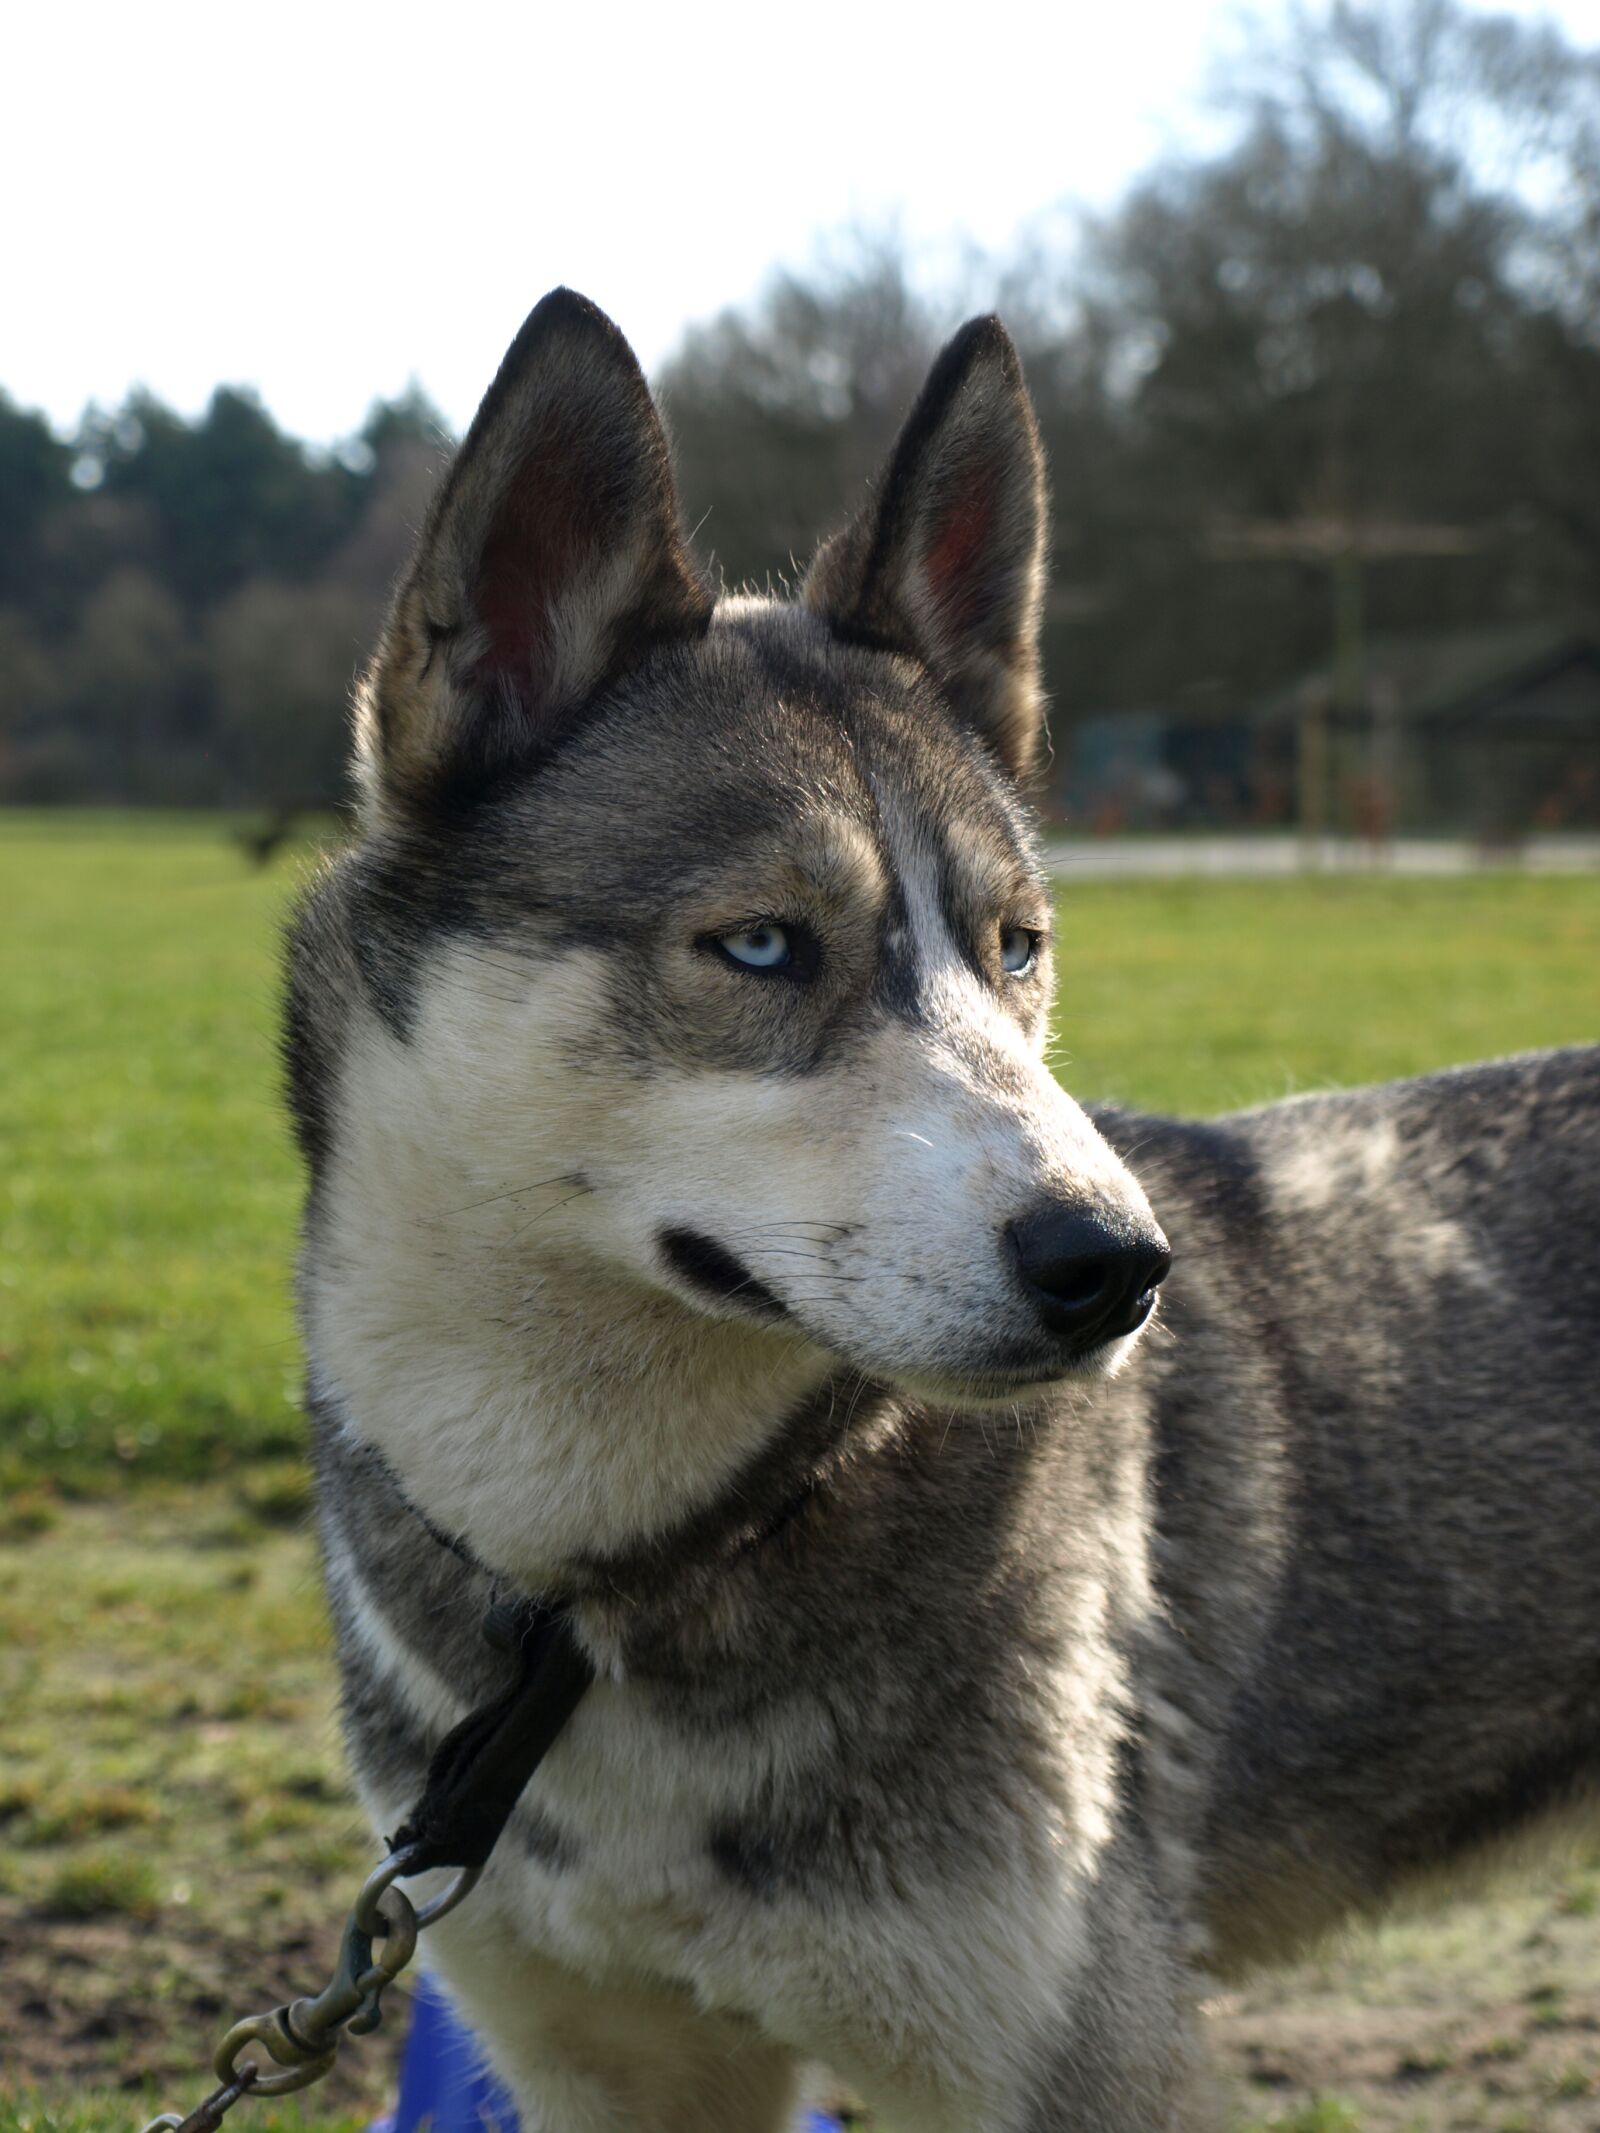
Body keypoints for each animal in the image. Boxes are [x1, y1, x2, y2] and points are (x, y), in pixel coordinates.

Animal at [292, 287, 1600, 2133]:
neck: (611, 1578)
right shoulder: (601, 2061)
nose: (1119, 1264)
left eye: (1017, 944)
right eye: (763, 943)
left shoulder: (1067, 2057)